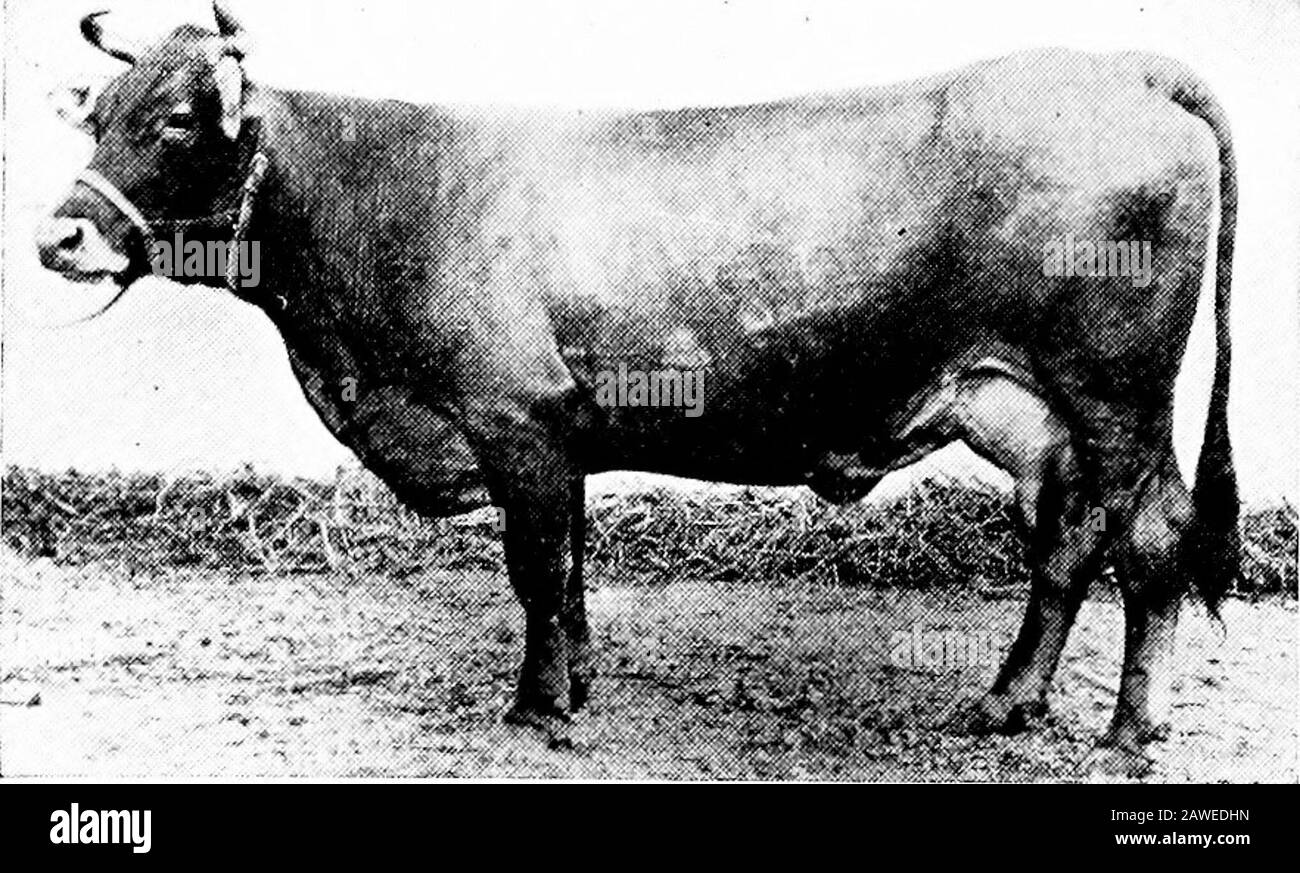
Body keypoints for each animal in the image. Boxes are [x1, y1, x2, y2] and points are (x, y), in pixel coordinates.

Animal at [36, 3, 1239, 775]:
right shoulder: (559, 438)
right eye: (96, 117)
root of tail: (1121, 64)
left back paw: (1126, 734)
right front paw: (575, 686)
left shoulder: (514, 421)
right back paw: (1005, 703)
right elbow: (568, 569)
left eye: (175, 121)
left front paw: (533, 709)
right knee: (1067, 546)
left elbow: (533, 570)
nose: (59, 238)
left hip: (1119, 401)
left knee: (1148, 543)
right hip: (1030, 413)